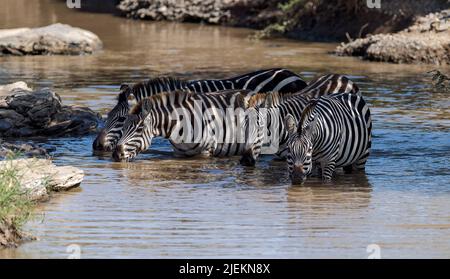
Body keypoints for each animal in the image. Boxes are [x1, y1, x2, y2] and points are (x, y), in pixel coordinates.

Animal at [110, 89, 262, 163]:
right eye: (123, 127)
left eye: (140, 129)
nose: (116, 154)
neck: (179, 125)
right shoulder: (179, 153)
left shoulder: (205, 152)